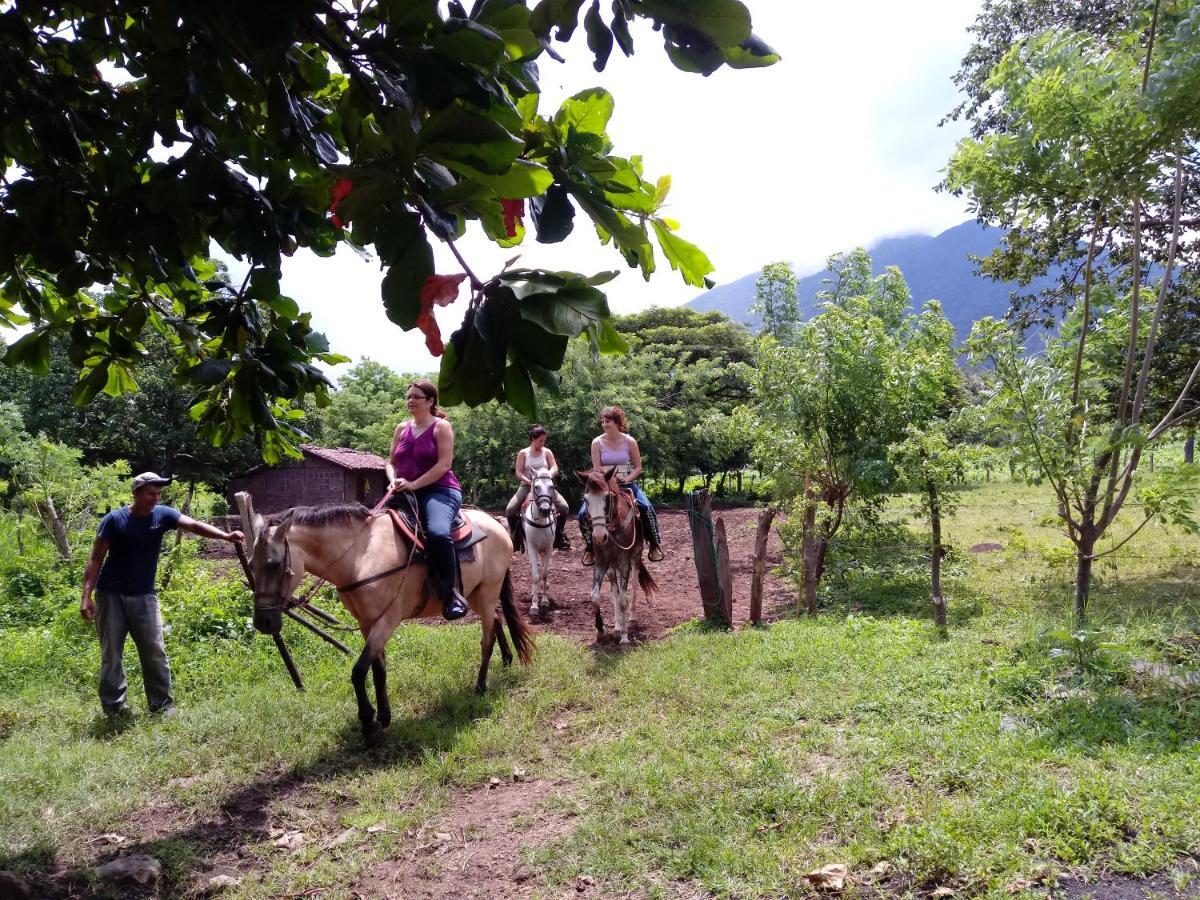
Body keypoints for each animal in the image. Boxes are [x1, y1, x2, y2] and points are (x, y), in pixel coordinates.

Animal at [241, 496, 532, 744]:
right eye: (251, 563)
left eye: (275, 564)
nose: (263, 622)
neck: (360, 556)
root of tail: (496, 524)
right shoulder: (367, 622)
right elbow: (378, 669)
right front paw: (384, 716)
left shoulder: (387, 620)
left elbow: (359, 671)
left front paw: (368, 724)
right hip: (476, 593)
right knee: (496, 620)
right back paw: (506, 659)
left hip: (488, 591)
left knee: (486, 639)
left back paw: (481, 686)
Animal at [578, 468, 657, 643]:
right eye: (586, 499)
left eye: (608, 497)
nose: (599, 536)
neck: (613, 530)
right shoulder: (601, 562)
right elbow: (595, 597)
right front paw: (602, 631)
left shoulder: (624, 563)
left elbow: (623, 600)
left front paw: (625, 638)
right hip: (611, 567)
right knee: (614, 591)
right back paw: (618, 625)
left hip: (635, 558)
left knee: (633, 585)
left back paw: (630, 619)